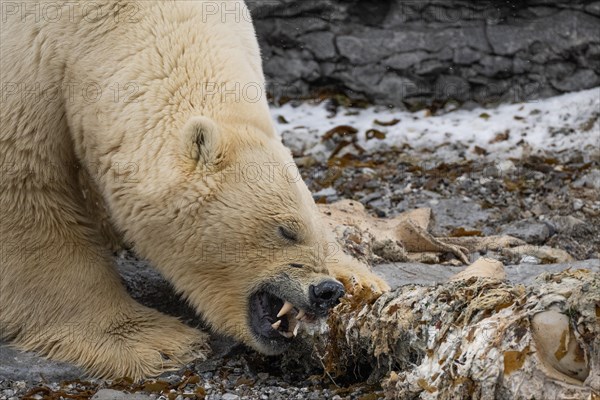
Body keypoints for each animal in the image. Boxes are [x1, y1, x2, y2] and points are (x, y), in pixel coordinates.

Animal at [0, 0, 386, 378]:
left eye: (314, 228)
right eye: (285, 230)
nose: (326, 291)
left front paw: (358, 279)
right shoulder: (30, 67)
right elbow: (28, 194)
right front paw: (154, 341)